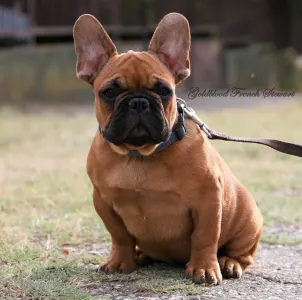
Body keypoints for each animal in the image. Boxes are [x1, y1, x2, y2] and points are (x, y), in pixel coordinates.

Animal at [72, 11, 262, 284]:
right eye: (108, 92)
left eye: (164, 90)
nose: (138, 102)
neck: (139, 154)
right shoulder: (103, 201)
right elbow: (119, 236)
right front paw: (120, 261)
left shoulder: (208, 199)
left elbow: (205, 237)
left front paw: (204, 268)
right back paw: (141, 256)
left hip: (249, 221)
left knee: (241, 253)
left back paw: (228, 263)